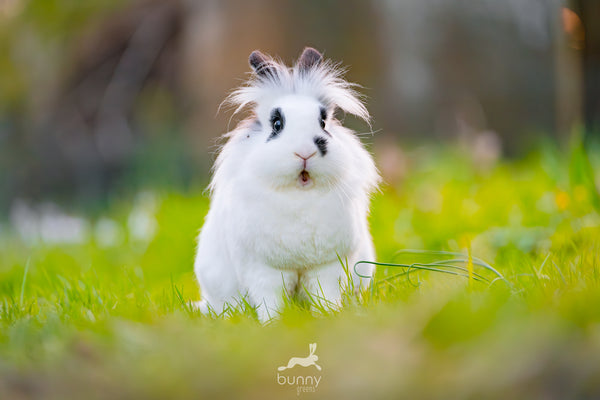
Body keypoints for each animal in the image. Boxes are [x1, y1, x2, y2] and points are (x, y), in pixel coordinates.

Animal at [193, 47, 380, 322]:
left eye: (324, 123)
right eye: (277, 125)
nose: (305, 152)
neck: (300, 194)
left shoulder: (327, 267)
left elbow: (326, 294)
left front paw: (329, 317)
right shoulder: (264, 271)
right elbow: (269, 300)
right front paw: (273, 324)